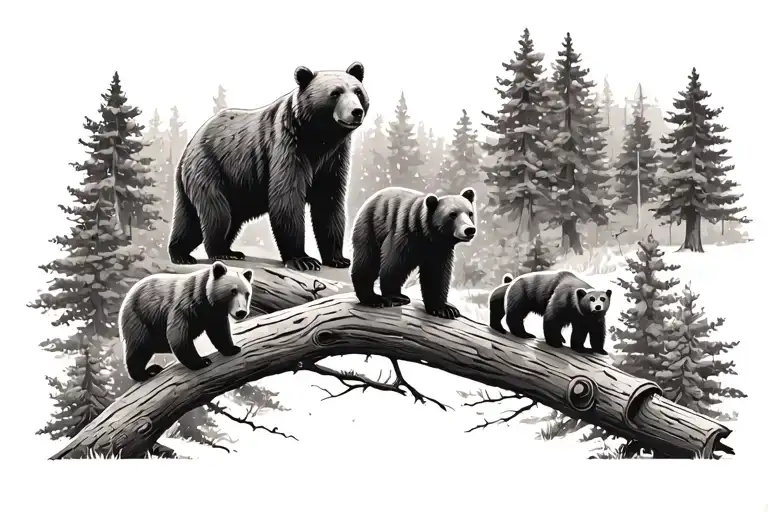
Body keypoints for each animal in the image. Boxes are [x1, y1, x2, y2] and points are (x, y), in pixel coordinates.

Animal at [117, 261, 254, 382]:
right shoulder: (185, 304)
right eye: (233, 291)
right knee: (139, 347)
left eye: (247, 294)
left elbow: (219, 331)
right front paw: (202, 361)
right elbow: (178, 336)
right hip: (139, 316)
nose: (241, 312)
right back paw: (145, 372)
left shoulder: (213, 313)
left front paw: (232, 349)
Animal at [167, 62, 370, 272]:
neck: (319, 139)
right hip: (211, 168)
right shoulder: (287, 146)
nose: (356, 111)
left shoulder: (334, 159)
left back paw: (190, 252)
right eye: (335, 93)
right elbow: (287, 198)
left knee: (193, 219)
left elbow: (329, 201)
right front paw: (303, 259)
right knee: (217, 214)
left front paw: (338, 258)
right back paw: (215, 251)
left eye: (358, 91)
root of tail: (188, 147)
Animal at [350, 186, 477, 320]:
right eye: (452, 214)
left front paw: (444, 309)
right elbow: (394, 265)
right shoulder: (405, 233)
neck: (429, 234)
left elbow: (436, 274)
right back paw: (373, 299)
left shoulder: (440, 249)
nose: (469, 230)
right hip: (371, 226)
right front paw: (397, 296)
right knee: (367, 261)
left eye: (470, 213)